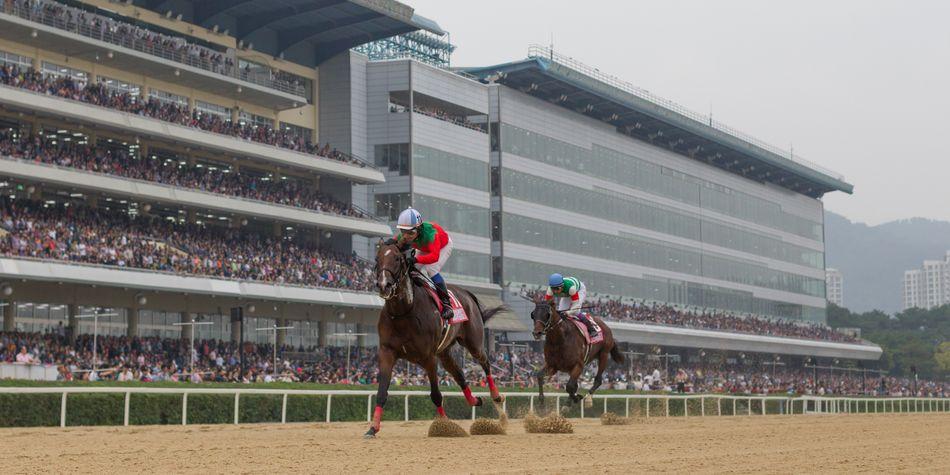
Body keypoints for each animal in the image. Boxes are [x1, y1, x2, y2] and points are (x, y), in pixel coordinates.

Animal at [366, 242, 512, 438]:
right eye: (377, 258)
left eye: (397, 258)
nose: (384, 285)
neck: (405, 310)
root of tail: (467, 294)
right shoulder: (387, 352)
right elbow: (382, 392)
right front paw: (372, 428)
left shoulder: (429, 357)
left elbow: (436, 395)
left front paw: (444, 426)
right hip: (445, 353)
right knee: (460, 375)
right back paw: (475, 400)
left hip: (473, 343)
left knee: (485, 362)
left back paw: (496, 396)